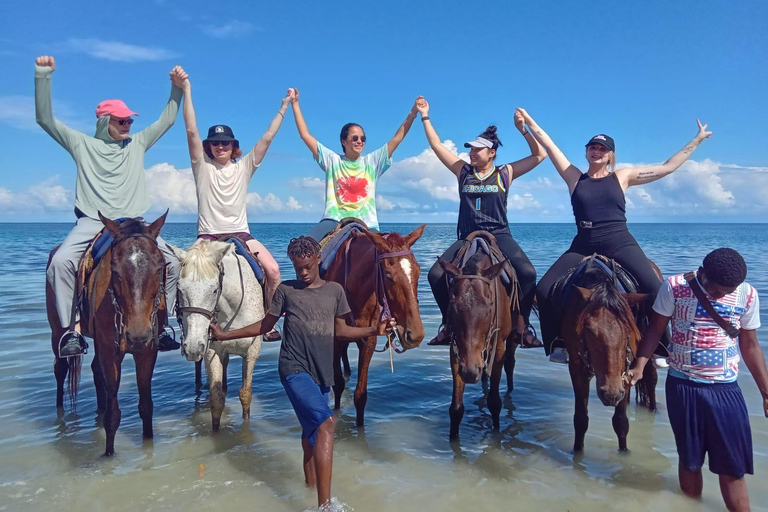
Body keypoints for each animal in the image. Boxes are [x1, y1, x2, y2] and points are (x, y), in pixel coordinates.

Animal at [47, 212, 170, 456]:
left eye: (159, 267)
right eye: (115, 270)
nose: (137, 335)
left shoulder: (147, 351)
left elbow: (146, 406)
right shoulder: (109, 351)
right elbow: (114, 415)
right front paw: (108, 454)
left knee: (96, 372)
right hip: (57, 330)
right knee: (61, 369)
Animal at [171, 241, 264, 432]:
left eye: (214, 290)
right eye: (179, 289)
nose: (192, 347)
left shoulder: (252, 350)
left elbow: (245, 394)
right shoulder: (212, 351)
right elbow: (216, 399)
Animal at [324, 226, 426, 426]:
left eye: (418, 271)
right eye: (388, 275)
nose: (415, 335)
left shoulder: (368, 339)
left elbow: (360, 395)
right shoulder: (335, 339)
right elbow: (338, 385)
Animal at [438, 252, 516, 440]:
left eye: (489, 308)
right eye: (452, 307)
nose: (470, 371)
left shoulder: (498, 349)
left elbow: (494, 403)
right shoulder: (456, 350)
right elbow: (456, 409)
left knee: (510, 363)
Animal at [560, 260, 656, 452]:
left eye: (627, 329)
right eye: (588, 329)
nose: (610, 394)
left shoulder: (627, 369)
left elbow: (621, 422)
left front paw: (624, 453)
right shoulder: (576, 368)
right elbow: (581, 420)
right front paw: (577, 452)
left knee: (651, 378)